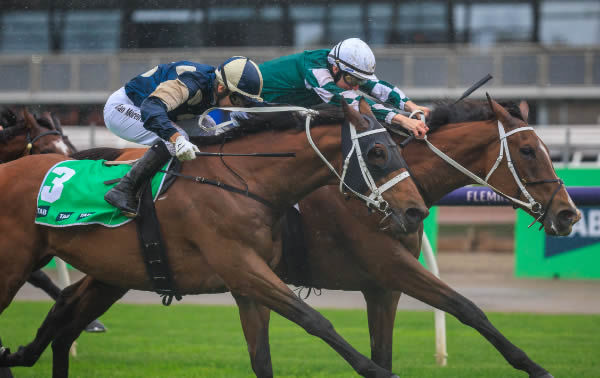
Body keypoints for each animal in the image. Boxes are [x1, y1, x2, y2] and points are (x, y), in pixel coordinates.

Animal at [5, 95, 576, 378]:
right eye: (529, 151)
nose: (569, 215)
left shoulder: (381, 286)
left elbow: (392, 344)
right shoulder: (385, 265)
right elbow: (466, 307)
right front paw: (538, 368)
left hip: (116, 271)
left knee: (67, 315)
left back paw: (26, 353)